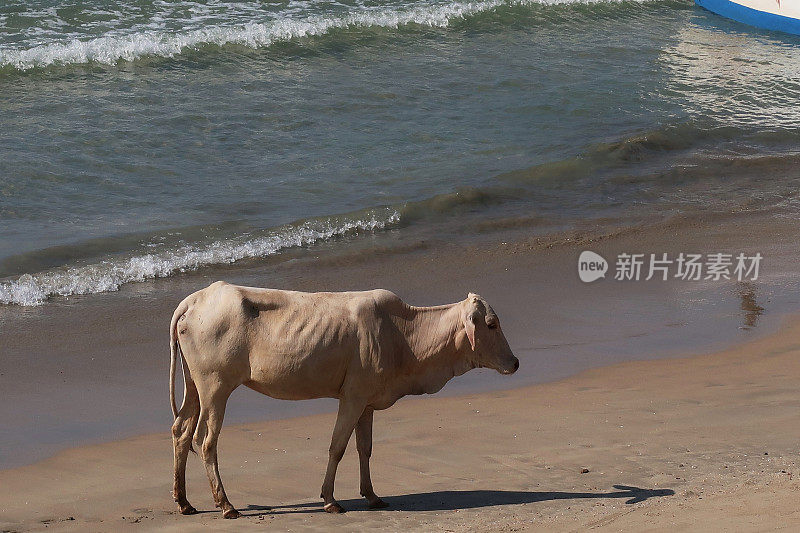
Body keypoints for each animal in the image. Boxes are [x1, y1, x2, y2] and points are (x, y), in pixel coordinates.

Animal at [169, 280, 520, 516]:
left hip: (195, 387)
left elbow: (365, 448)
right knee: (206, 440)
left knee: (181, 432)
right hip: (216, 387)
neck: (404, 337)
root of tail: (195, 299)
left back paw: (184, 501)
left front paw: (372, 496)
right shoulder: (352, 396)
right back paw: (225, 504)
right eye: (491, 324)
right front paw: (330, 499)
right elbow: (337, 447)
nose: (516, 363)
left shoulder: (367, 401)